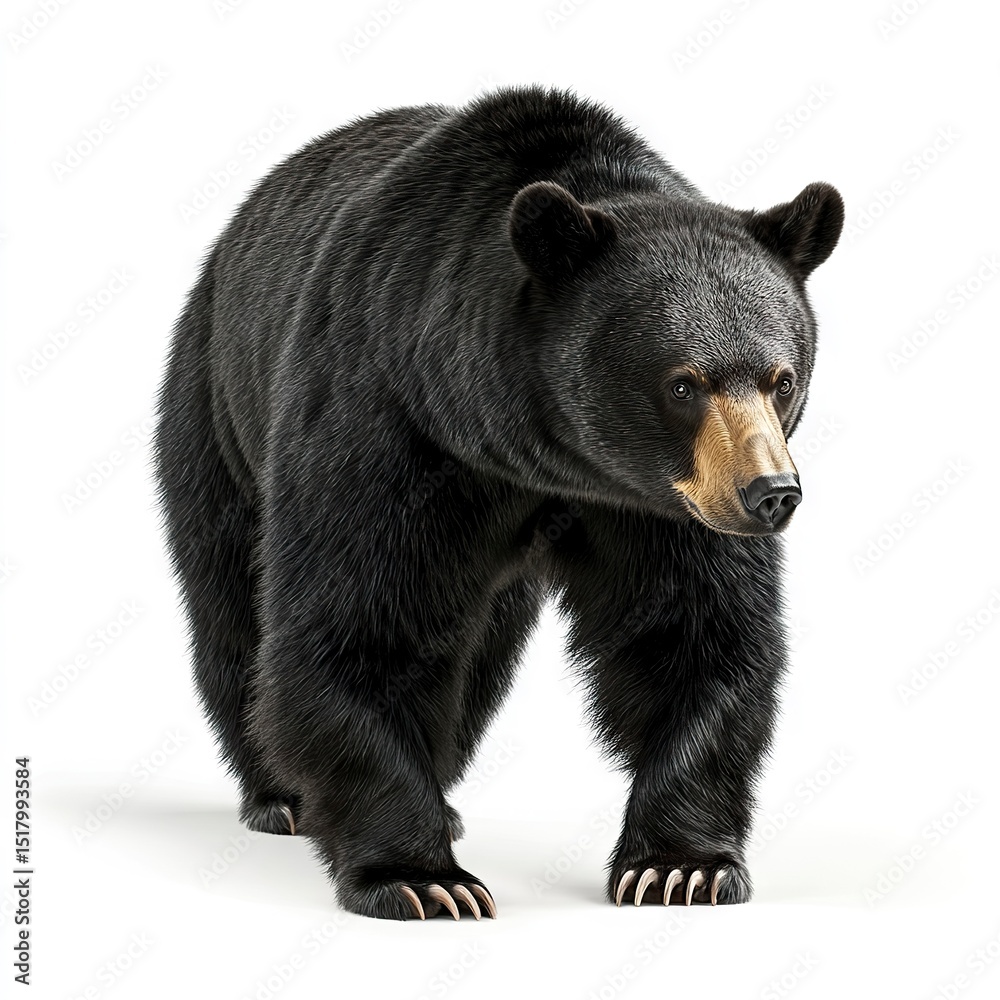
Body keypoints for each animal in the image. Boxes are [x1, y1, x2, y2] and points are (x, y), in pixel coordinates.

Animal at [153, 86, 843, 920]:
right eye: (683, 384)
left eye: (781, 378)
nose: (770, 494)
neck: (542, 458)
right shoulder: (388, 416)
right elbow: (361, 624)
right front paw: (420, 876)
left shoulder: (661, 505)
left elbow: (694, 634)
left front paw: (681, 867)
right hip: (216, 407)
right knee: (231, 601)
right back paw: (281, 795)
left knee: (479, 650)